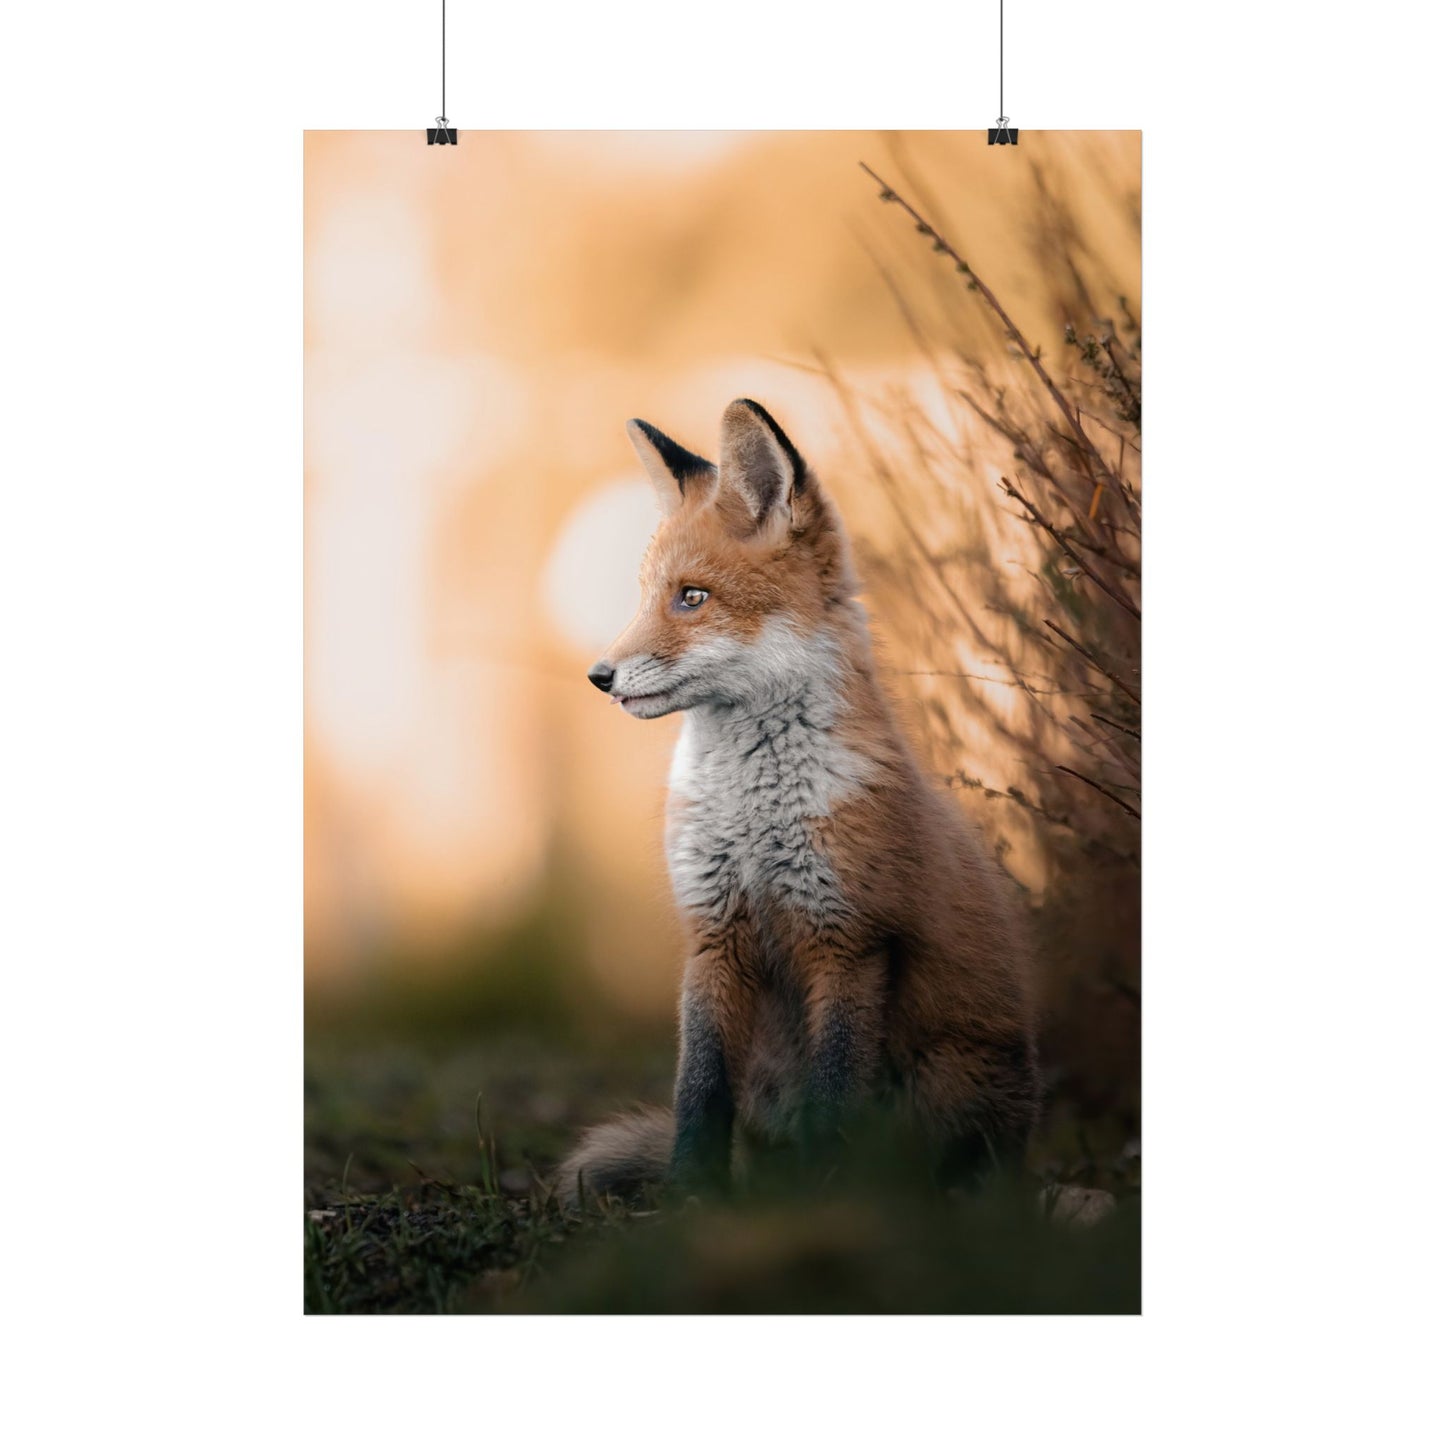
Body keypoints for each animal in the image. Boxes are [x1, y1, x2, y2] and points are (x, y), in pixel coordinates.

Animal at [557, 398, 1041, 1201]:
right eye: (646, 595)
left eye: (692, 597)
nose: (599, 676)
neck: (752, 815)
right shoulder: (712, 933)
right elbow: (697, 1090)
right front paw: (691, 1197)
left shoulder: (848, 939)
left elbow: (834, 1092)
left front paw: (821, 1196)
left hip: (949, 1080)